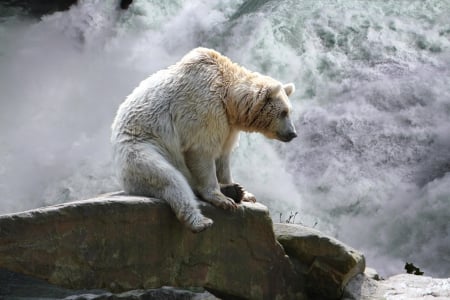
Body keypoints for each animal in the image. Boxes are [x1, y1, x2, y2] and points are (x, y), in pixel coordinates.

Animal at [110, 48, 298, 233]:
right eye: (283, 112)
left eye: (290, 111)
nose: (293, 133)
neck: (228, 98)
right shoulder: (204, 108)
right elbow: (202, 151)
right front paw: (223, 200)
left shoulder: (228, 126)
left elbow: (223, 157)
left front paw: (243, 192)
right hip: (141, 149)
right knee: (169, 178)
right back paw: (201, 221)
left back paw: (234, 190)